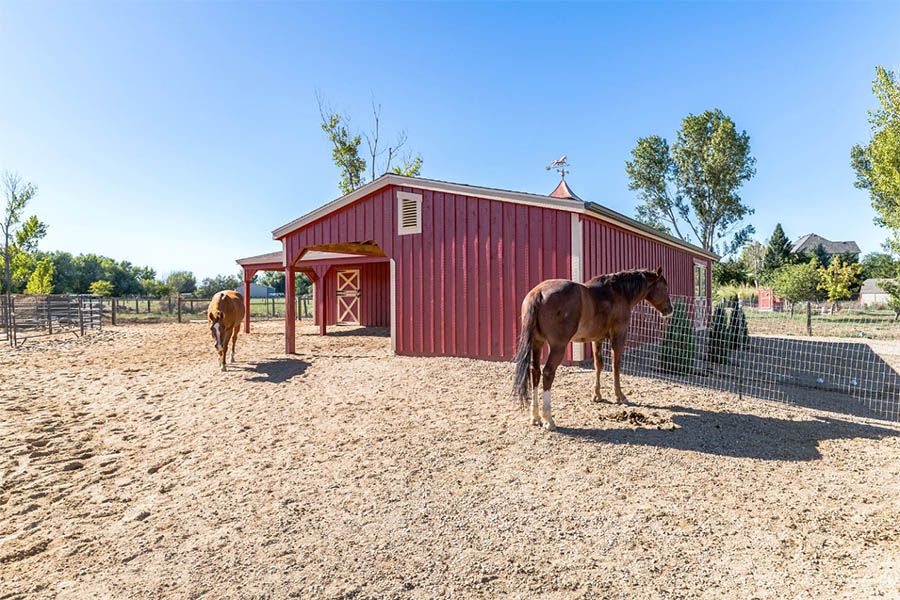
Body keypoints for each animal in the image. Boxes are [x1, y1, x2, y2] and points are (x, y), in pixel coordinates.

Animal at [513, 268, 674, 431]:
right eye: (664, 287)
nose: (670, 309)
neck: (618, 292)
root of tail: (538, 293)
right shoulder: (619, 335)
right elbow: (616, 365)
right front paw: (619, 396)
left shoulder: (597, 339)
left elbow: (599, 365)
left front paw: (597, 395)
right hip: (558, 346)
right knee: (547, 373)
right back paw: (548, 419)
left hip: (537, 342)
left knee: (535, 372)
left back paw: (535, 416)